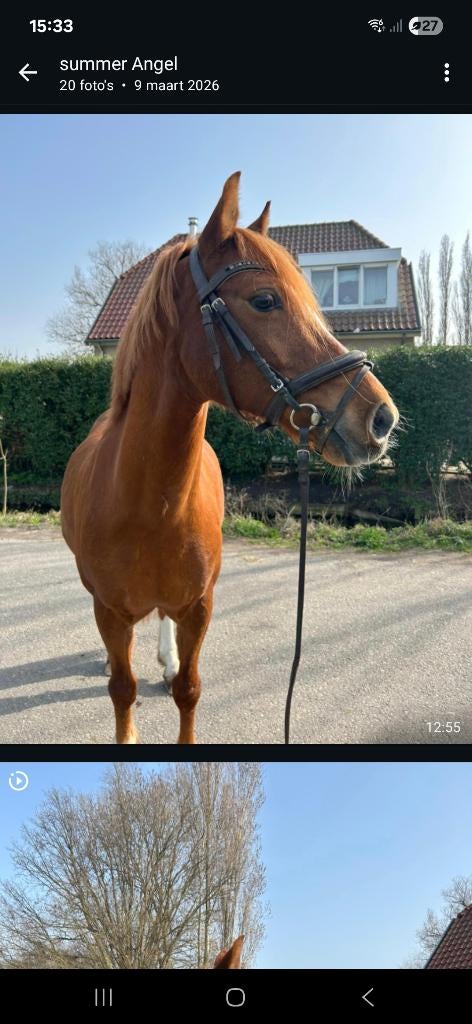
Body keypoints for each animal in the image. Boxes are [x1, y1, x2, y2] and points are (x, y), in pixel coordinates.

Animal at [61, 172, 398, 744]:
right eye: (264, 300)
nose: (381, 418)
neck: (149, 504)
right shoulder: (109, 611)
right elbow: (123, 693)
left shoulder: (199, 608)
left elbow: (189, 690)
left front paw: (176, 677)